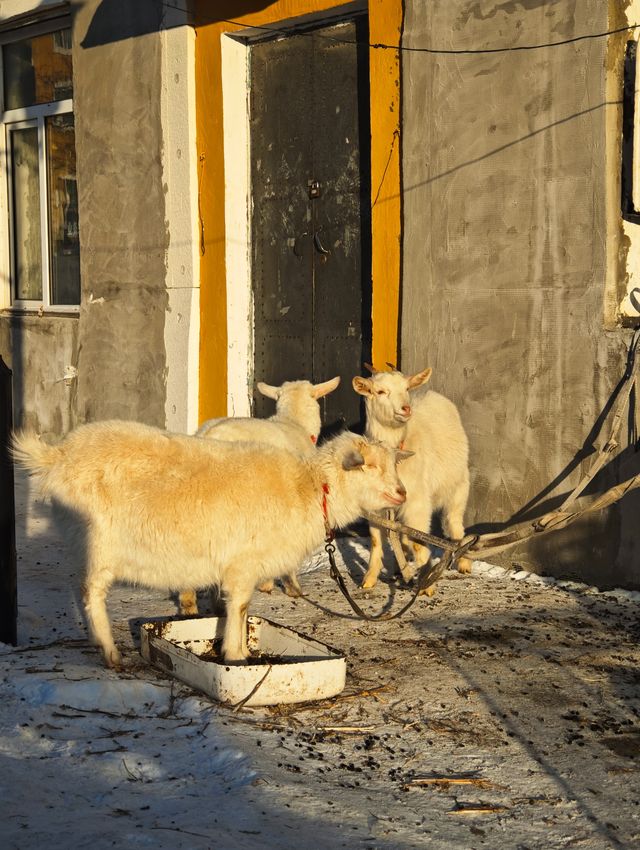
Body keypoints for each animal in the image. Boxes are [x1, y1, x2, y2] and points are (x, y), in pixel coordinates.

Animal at [11, 420, 410, 664]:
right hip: (98, 543)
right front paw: (236, 655)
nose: (401, 493)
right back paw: (110, 653)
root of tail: (59, 454)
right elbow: (241, 607)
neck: (309, 488)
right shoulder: (243, 564)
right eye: (370, 466)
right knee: (91, 593)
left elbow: (239, 609)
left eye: (393, 464)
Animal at [350, 362, 470, 588]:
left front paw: (426, 586)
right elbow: (376, 541)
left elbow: (418, 542)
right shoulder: (375, 506)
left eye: (406, 388)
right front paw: (369, 579)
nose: (406, 409)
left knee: (455, 522)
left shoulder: (417, 502)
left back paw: (465, 561)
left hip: (458, 486)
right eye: (380, 391)